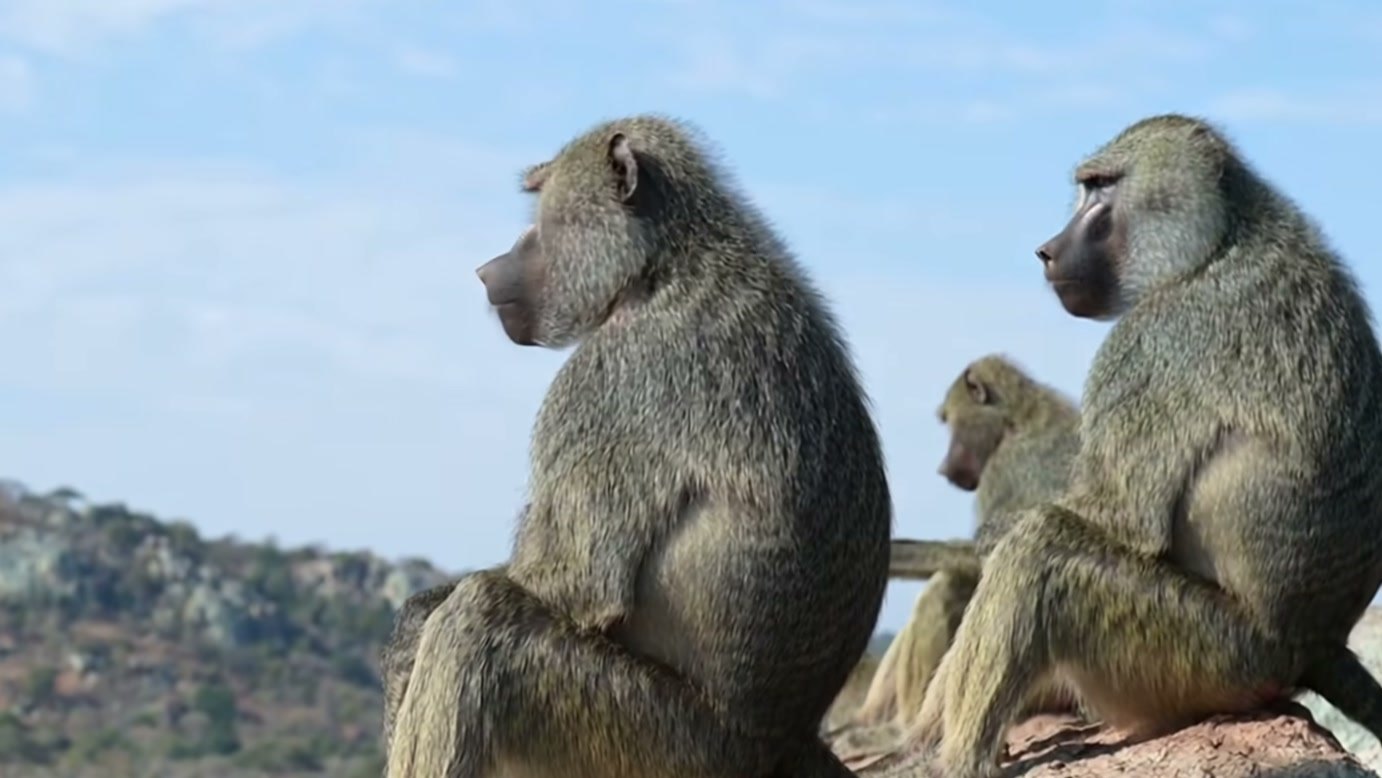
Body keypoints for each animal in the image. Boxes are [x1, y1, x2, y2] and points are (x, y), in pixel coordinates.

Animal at [382, 115, 892, 778]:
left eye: (539, 201)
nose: (489, 268)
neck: (665, 266)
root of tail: (785, 741)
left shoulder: (609, 380)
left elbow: (579, 581)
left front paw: (415, 624)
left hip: (660, 744)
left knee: (480, 621)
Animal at [834, 356, 1082, 759]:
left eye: (950, 421)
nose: (944, 467)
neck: (1020, 419)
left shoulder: (1002, 471)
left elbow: (989, 557)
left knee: (947, 587)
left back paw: (900, 737)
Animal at [905, 114, 1382, 778]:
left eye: (1102, 187)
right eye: (1085, 187)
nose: (1047, 249)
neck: (1219, 243)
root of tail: (1314, 645)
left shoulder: (1151, 343)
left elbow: (1122, 520)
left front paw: (985, 542)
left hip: (1202, 659)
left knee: (1042, 548)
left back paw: (961, 761)